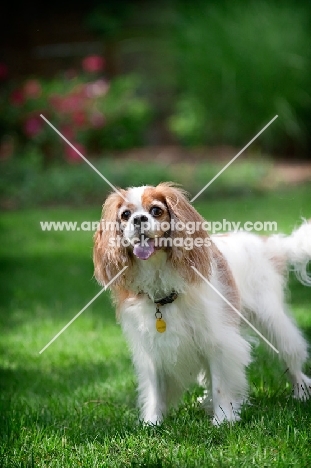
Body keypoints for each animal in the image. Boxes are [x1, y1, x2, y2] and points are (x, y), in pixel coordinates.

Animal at [94, 182, 311, 424]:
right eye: (125, 215)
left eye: (156, 211)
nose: (139, 219)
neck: (159, 277)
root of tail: (268, 243)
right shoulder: (153, 347)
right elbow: (156, 389)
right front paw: (153, 422)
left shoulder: (219, 340)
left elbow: (221, 384)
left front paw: (223, 419)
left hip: (271, 320)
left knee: (292, 357)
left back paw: (301, 392)